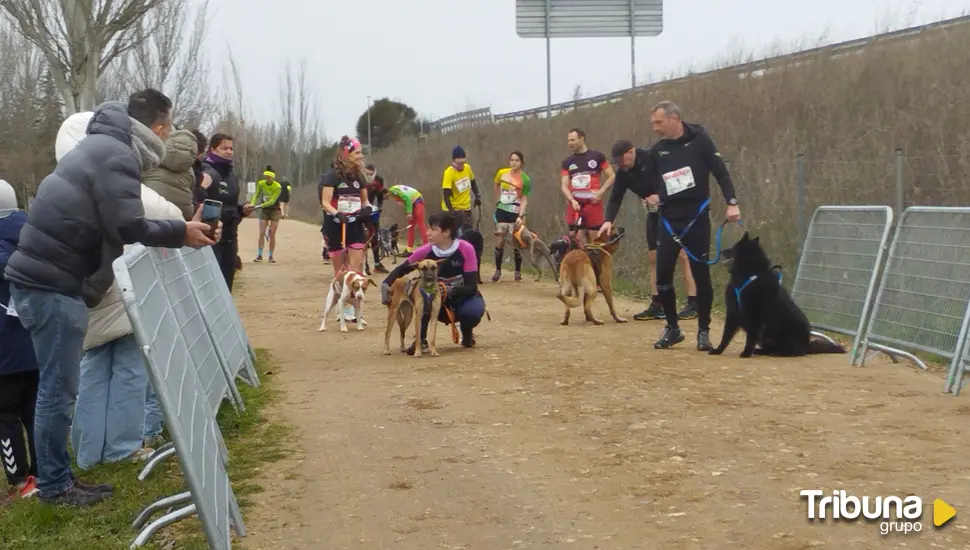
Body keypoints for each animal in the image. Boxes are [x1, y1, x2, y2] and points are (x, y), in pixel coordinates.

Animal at [708, 232, 844, 358]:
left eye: (734, 247)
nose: (721, 251)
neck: (749, 275)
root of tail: (806, 346)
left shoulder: (755, 316)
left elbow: (750, 338)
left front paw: (746, 353)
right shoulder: (733, 313)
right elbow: (726, 336)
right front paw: (718, 350)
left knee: (794, 352)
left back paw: (778, 352)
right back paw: (761, 351)